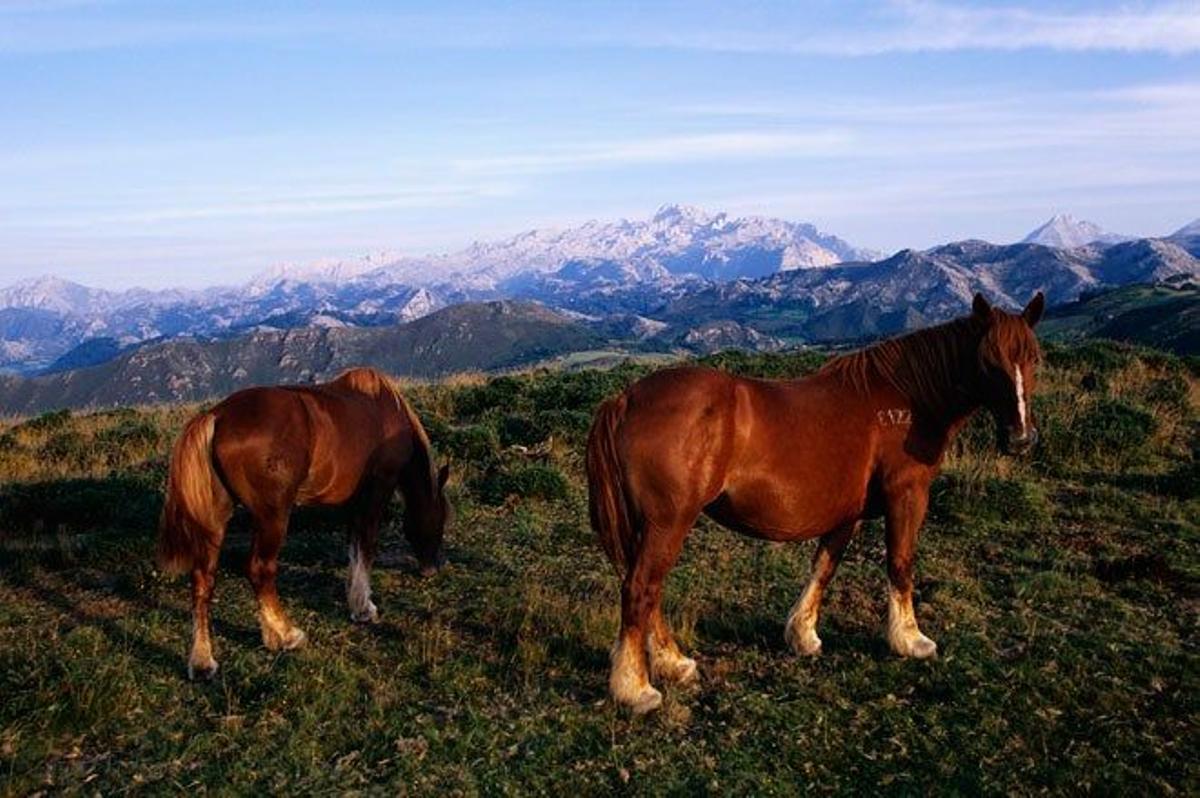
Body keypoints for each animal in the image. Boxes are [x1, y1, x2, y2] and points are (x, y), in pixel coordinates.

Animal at [152, 367, 448, 676]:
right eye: (440, 518)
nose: (432, 568)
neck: (387, 412)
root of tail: (216, 416)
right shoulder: (377, 491)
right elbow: (367, 546)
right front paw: (364, 608)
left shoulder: (355, 502)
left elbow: (354, 548)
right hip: (272, 516)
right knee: (259, 569)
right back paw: (285, 635)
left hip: (215, 519)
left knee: (203, 578)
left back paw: (202, 660)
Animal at [585, 291, 1046, 710]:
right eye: (988, 362)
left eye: (1034, 360)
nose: (1021, 439)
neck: (907, 401)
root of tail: (625, 399)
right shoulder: (907, 495)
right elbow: (900, 563)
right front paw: (910, 639)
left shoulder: (847, 512)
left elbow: (824, 565)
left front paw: (803, 635)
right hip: (670, 520)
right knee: (641, 588)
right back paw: (637, 689)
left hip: (654, 524)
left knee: (648, 590)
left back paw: (673, 663)